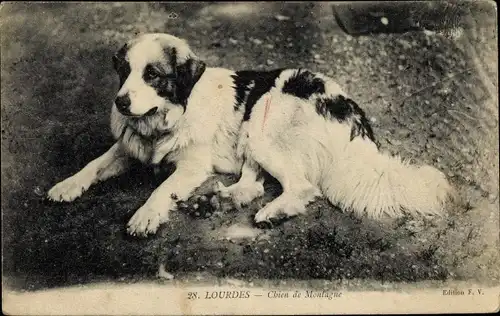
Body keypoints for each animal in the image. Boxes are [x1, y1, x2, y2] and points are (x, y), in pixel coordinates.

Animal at [47, 34, 454, 237]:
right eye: (125, 71)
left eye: (152, 75)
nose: (121, 101)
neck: (164, 119)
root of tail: (352, 113)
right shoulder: (127, 146)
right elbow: (93, 164)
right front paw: (66, 185)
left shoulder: (191, 166)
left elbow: (161, 189)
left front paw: (145, 215)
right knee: (253, 183)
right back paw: (217, 199)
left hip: (263, 121)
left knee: (301, 187)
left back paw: (271, 212)